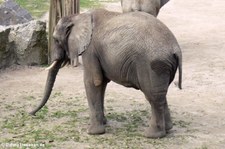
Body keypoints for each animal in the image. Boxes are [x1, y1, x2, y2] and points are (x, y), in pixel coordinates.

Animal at [29, 8, 182, 139]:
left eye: (55, 39)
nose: (31, 114)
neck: (78, 16)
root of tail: (176, 48)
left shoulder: (90, 50)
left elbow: (92, 81)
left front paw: (93, 132)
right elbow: (101, 83)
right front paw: (104, 122)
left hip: (152, 64)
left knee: (153, 96)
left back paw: (152, 135)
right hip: (162, 66)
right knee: (161, 94)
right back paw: (168, 129)